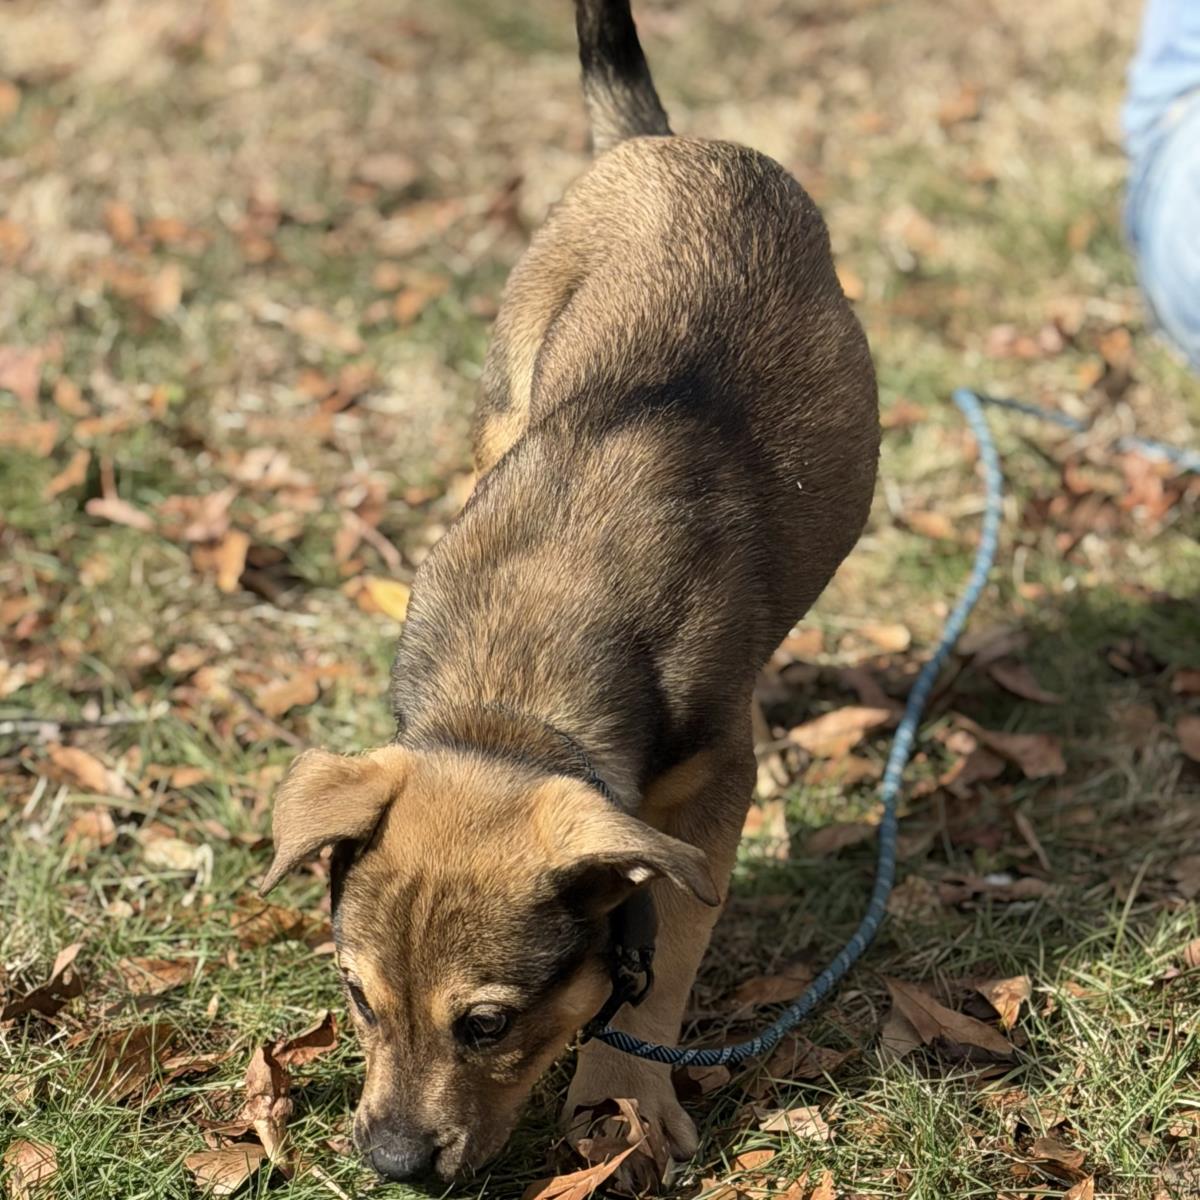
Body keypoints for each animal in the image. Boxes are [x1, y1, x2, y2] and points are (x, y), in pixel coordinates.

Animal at [260, 0, 878, 1183]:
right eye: (355, 998)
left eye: (487, 1023)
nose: (393, 1167)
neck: (514, 699)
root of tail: (665, 144)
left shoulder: (708, 791)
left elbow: (668, 945)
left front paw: (624, 1101)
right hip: (506, 387)